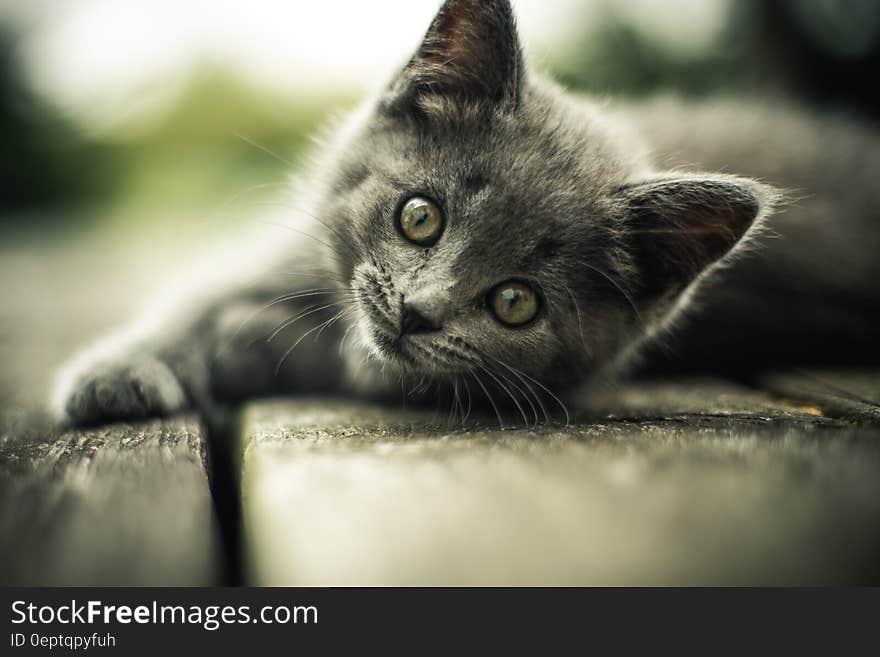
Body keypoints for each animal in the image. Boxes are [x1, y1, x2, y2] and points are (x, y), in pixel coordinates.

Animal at [53, 0, 880, 426]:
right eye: (419, 216)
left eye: (515, 302)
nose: (417, 311)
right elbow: (191, 300)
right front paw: (117, 372)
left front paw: (250, 341)